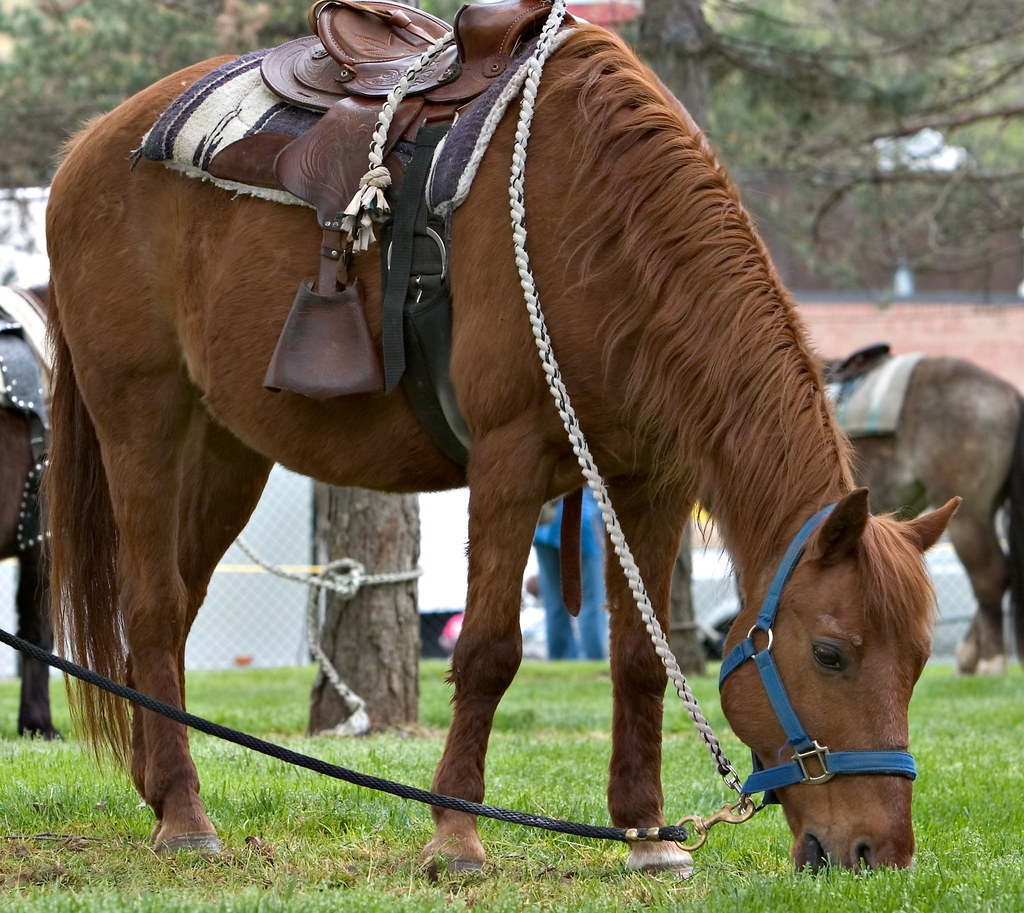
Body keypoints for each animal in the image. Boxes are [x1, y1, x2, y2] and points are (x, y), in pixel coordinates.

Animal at [44, 18, 956, 873]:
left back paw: (157, 784)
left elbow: (640, 657)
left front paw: (647, 833)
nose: (879, 851)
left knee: (171, 604)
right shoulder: (510, 460)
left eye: (919, 660)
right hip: (141, 415)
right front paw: (455, 832)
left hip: (227, 450)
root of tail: (86, 147)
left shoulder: (648, 482)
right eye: (831, 653)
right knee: (153, 605)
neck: (603, 223)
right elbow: (488, 652)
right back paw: (186, 814)